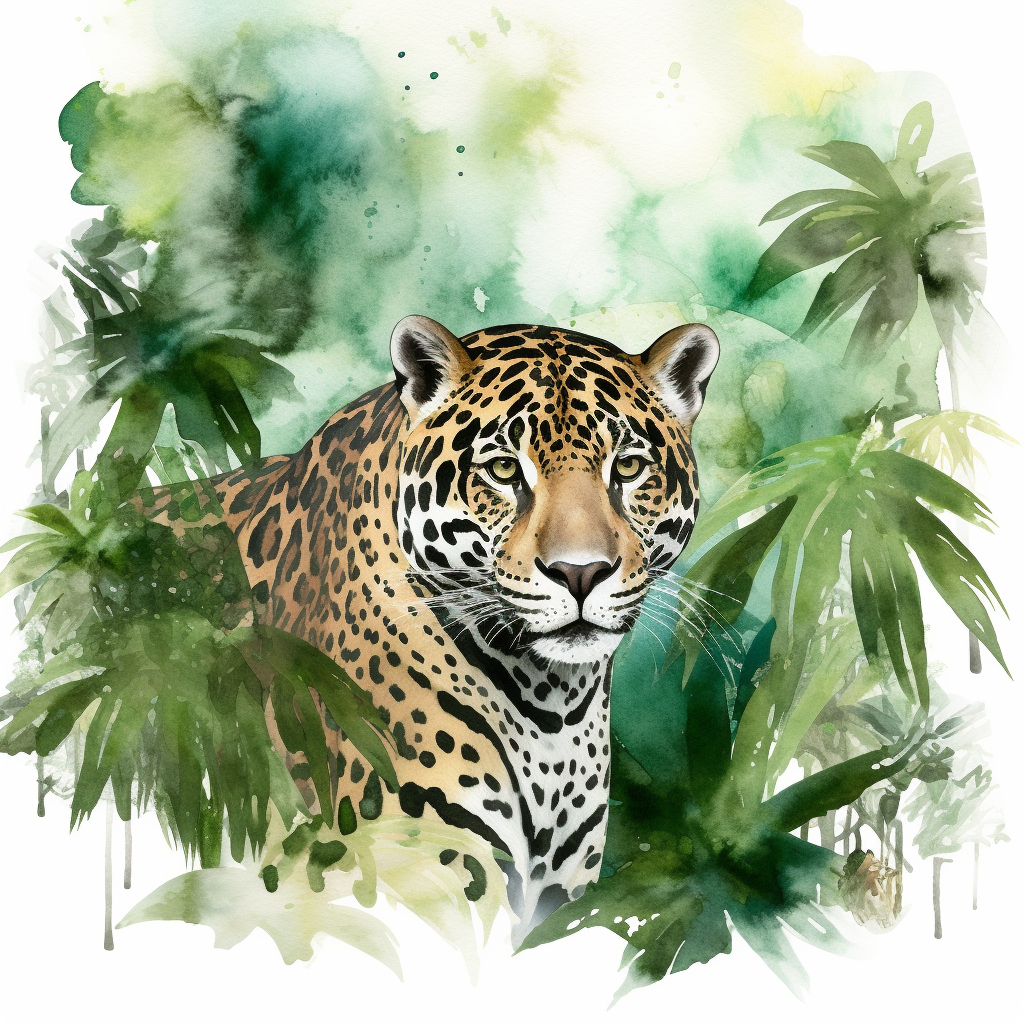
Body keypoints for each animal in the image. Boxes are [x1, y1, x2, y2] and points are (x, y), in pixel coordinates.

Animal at [154, 316, 719, 940]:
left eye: (627, 467)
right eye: (502, 470)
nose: (581, 572)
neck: (553, 707)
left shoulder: (559, 890)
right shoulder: (425, 868)